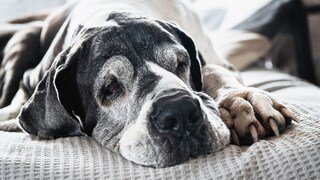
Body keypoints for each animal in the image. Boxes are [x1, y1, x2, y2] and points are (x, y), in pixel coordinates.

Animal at [0, 0, 298, 167]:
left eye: (180, 63)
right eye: (110, 88)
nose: (179, 112)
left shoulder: (214, 60)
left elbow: (215, 71)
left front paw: (242, 101)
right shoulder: (33, 75)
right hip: (22, 42)